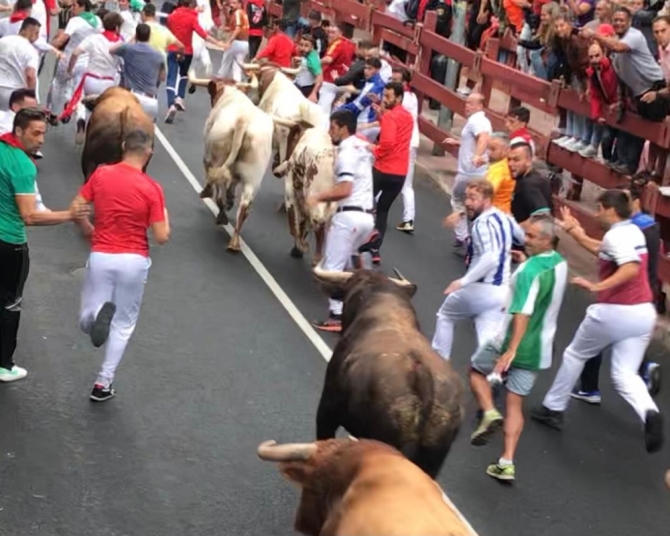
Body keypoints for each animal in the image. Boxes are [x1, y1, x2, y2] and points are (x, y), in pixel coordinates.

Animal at [186, 71, 272, 253]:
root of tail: (242, 120)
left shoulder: (207, 153)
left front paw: (207, 192)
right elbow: (233, 184)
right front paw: (231, 199)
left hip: (218, 157)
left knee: (219, 189)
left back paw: (222, 216)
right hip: (254, 176)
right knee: (245, 203)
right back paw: (234, 241)